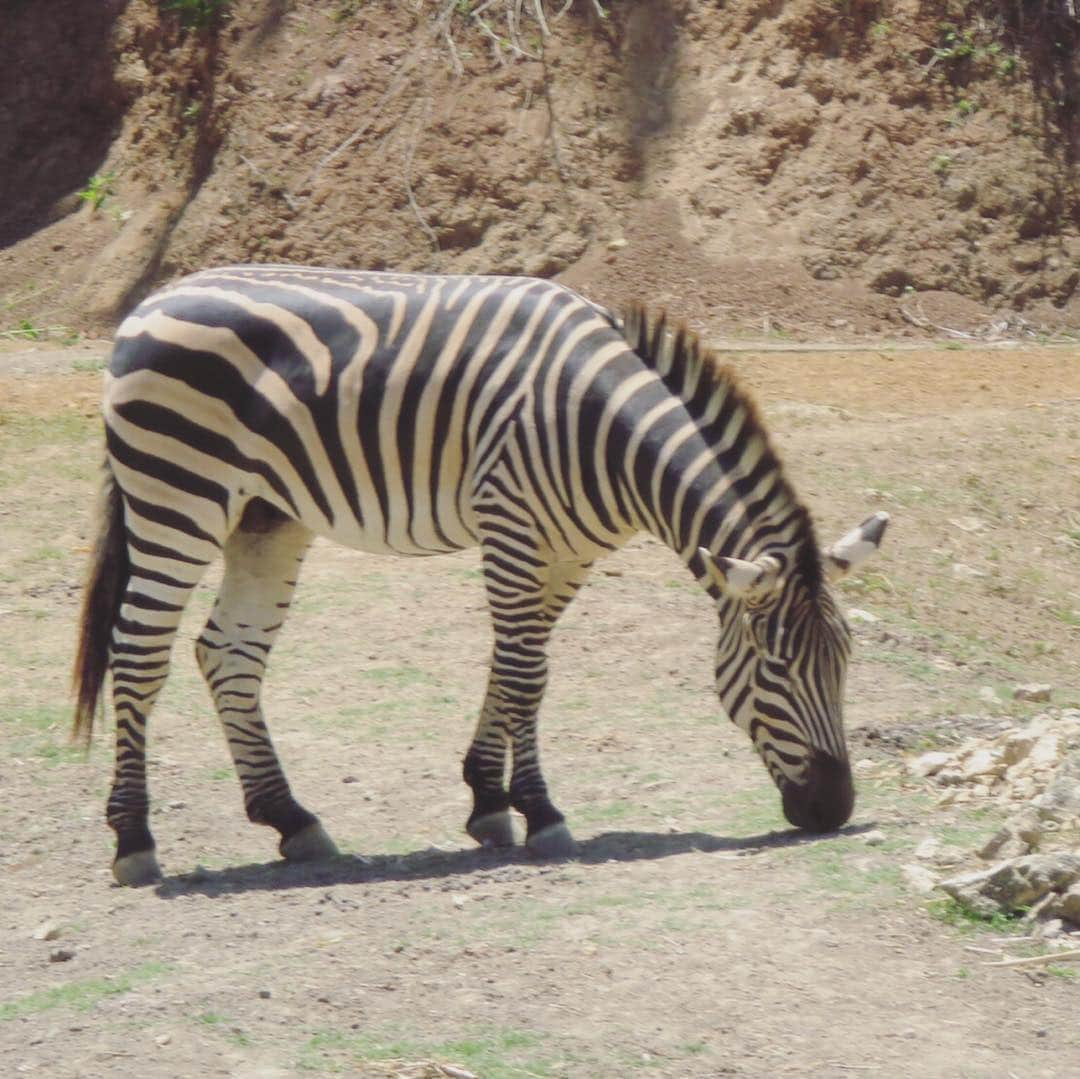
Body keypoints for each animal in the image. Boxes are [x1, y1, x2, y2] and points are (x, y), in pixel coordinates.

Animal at [71, 263, 889, 885]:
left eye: (847, 663)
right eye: (776, 669)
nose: (834, 810)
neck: (607, 430)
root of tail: (150, 301)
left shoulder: (566, 550)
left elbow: (515, 663)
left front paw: (489, 801)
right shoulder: (513, 527)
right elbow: (527, 673)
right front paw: (541, 813)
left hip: (264, 515)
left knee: (228, 653)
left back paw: (290, 819)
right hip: (178, 494)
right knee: (139, 654)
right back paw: (134, 841)